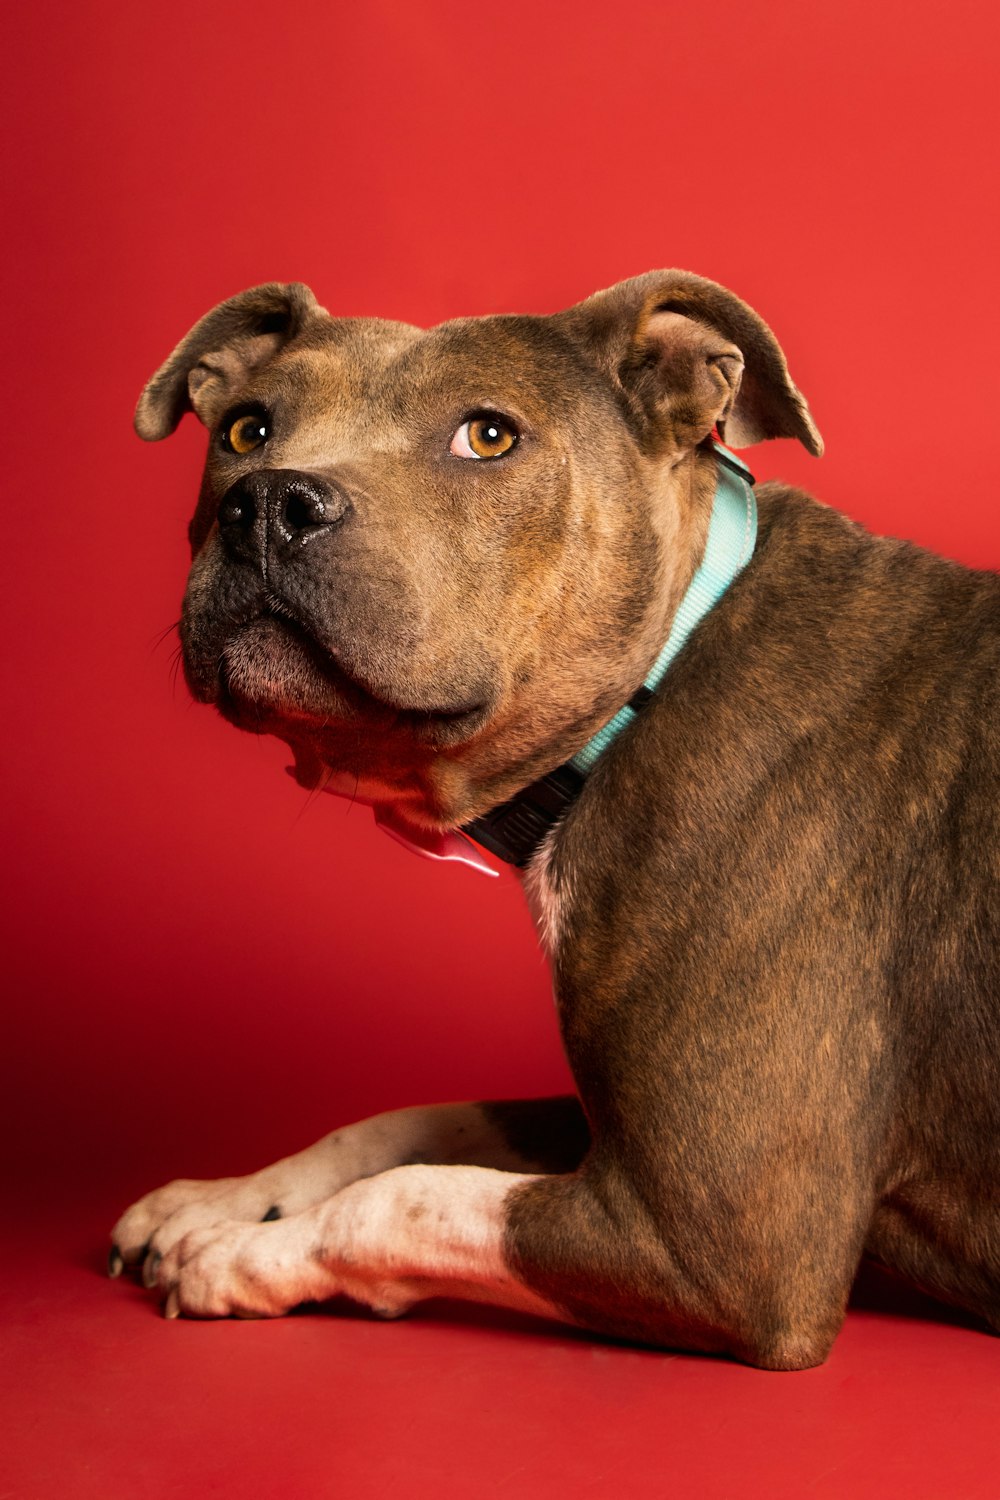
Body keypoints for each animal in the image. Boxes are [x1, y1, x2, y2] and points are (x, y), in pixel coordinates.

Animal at [109, 273, 1000, 1374]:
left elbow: (400, 1198)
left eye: (488, 437)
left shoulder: (723, 1241)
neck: (659, 675)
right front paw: (223, 1201)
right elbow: (407, 1125)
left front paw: (241, 1255)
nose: (270, 501)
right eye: (244, 427)